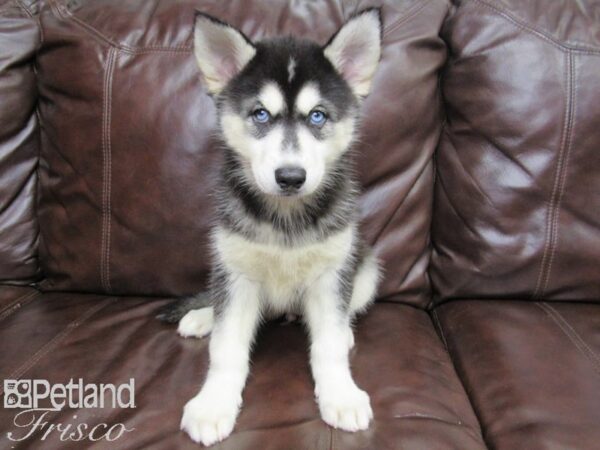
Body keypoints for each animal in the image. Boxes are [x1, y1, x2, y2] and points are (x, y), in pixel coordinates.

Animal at [158, 8, 384, 444]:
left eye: (318, 116)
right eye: (260, 114)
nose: (291, 176)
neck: (286, 217)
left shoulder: (333, 271)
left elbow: (328, 344)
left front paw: (341, 394)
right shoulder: (235, 269)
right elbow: (226, 346)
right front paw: (214, 403)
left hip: (365, 268)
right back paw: (203, 316)